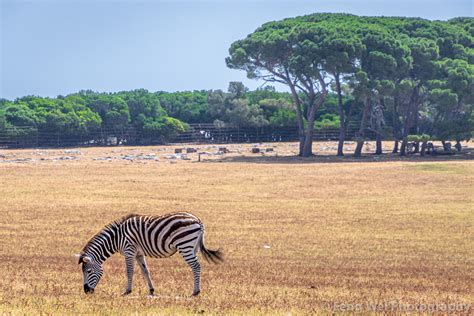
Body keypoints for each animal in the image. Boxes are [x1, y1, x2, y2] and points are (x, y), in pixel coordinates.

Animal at [75, 212, 223, 296]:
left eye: (88, 271)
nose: (86, 291)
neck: (116, 238)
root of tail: (198, 220)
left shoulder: (129, 251)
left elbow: (129, 271)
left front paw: (127, 291)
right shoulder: (139, 254)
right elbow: (145, 271)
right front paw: (151, 290)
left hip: (185, 245)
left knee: (196, 267)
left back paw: (195, 292)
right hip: (193, 247)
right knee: (196, 267)